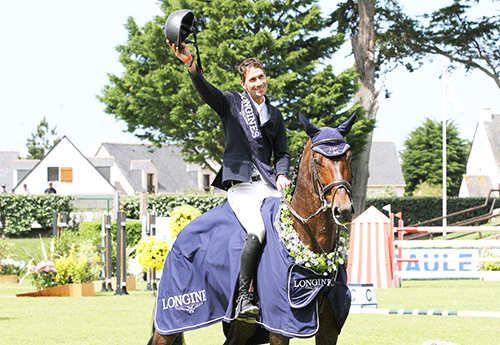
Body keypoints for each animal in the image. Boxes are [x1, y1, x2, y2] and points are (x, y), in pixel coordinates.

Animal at [148, 113, 356, 344]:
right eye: (318, 161)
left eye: (348, 158)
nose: (343, 210)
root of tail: (178, 236)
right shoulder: (280, 327)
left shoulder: (329, 329)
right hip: (172, 319)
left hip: (242, 327)